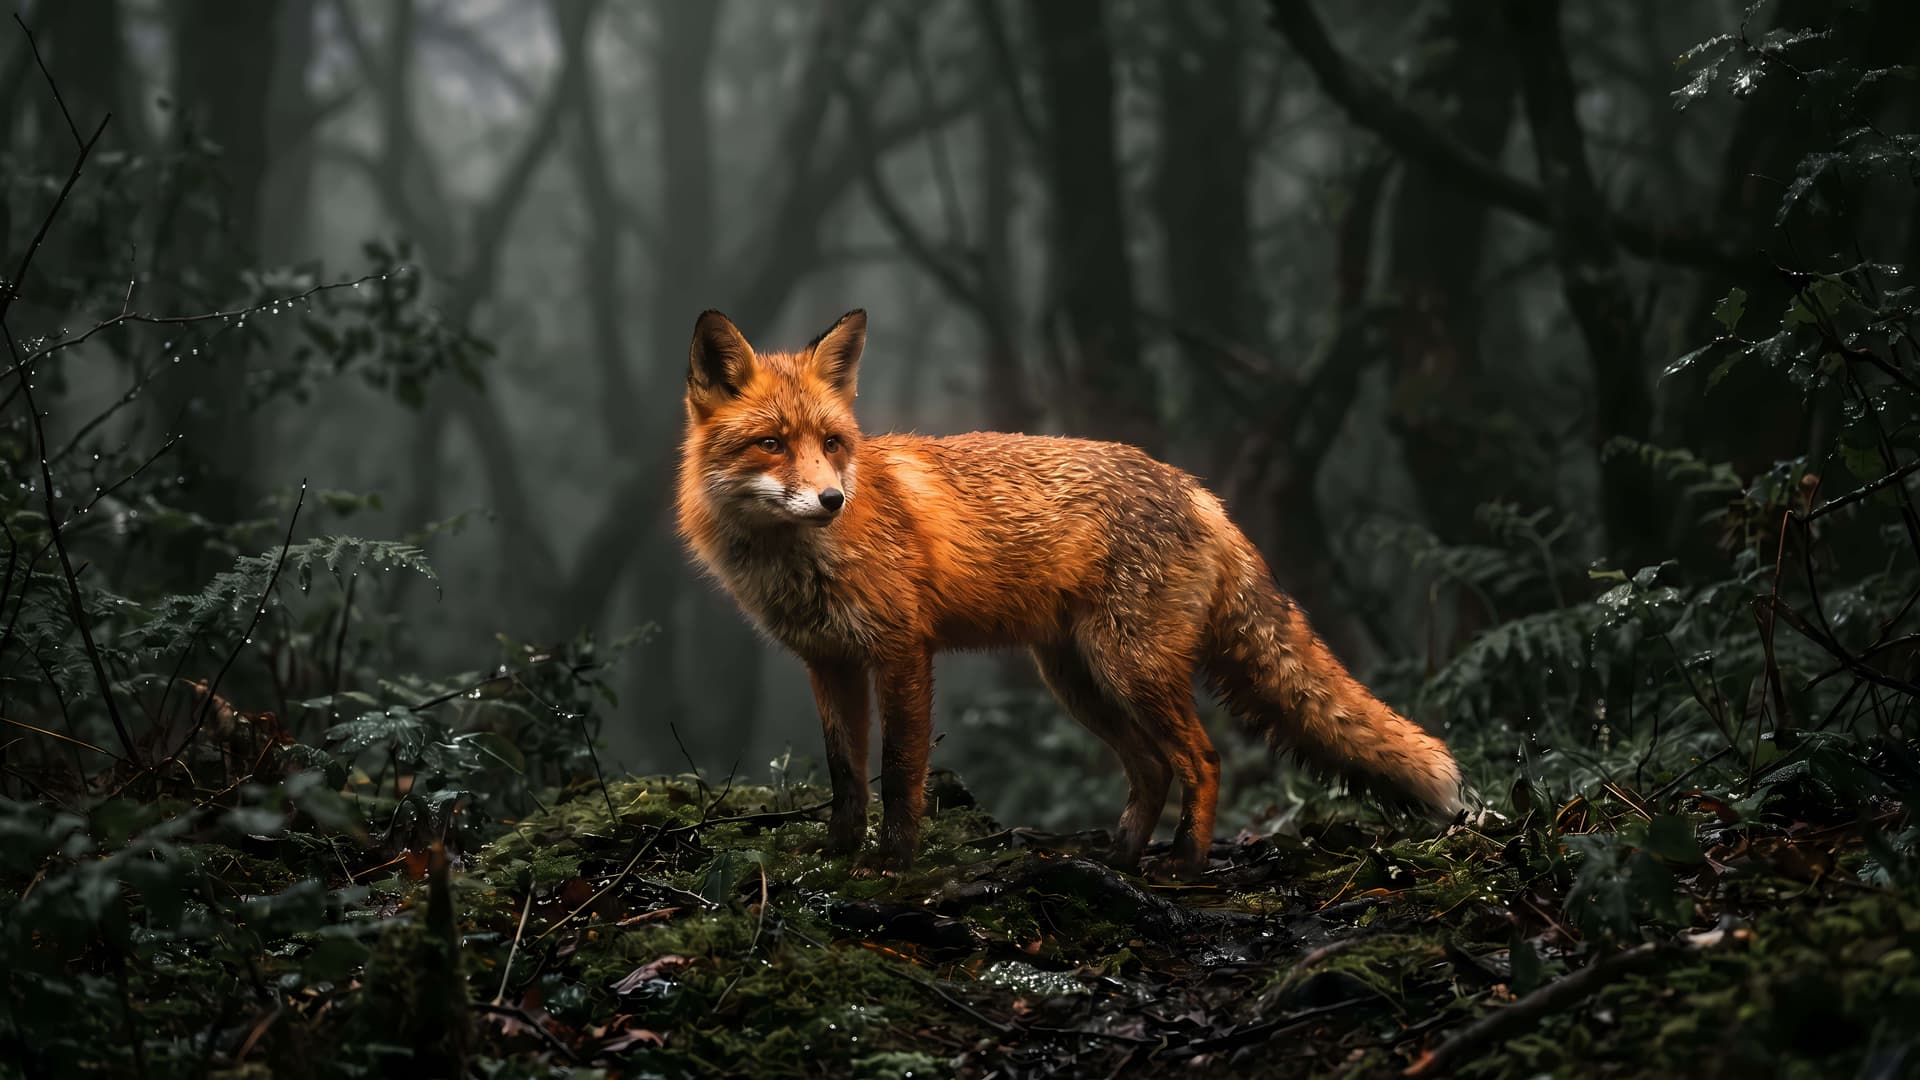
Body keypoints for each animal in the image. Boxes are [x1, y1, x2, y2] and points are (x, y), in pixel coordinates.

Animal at [675, 308, 1466, 876]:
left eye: (833, 443)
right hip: (1078, 682)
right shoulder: (829, 661)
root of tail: (1198, 490)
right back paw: (1118, 857)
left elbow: (899, 771)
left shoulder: (901, 650)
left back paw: (1185, 864)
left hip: (1130, 669)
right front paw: (838, 855)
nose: (832, 499)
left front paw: (894, 864)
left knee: (1202, 759)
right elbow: (846, 774)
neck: (798, 563)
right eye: (772, 444)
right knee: (1153, 768)